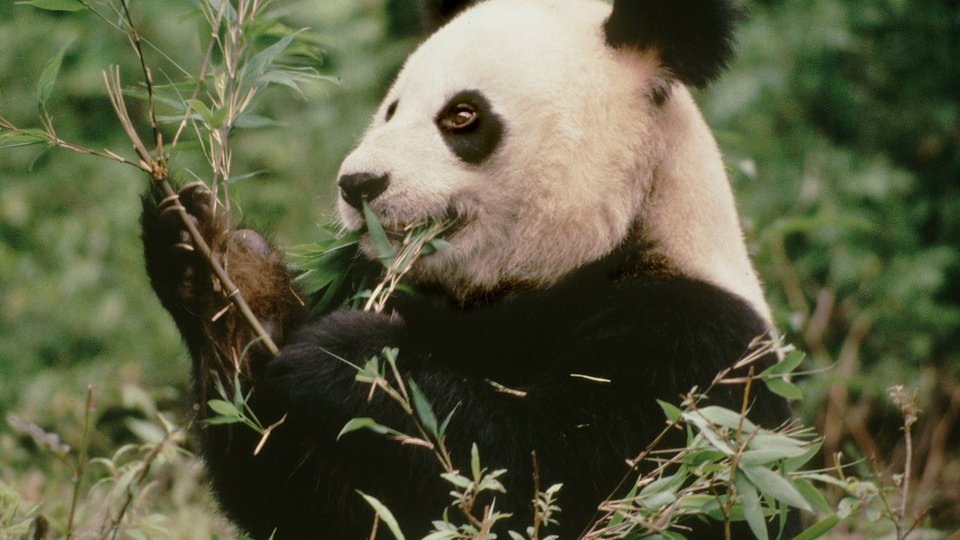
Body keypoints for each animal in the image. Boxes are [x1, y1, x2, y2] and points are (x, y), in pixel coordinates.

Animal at [142, 0, 793, 538]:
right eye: (391, 109)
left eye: (461, 115)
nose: (358, 183)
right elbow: (310, 497)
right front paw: (221, 266)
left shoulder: (691, 351)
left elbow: (539, 480)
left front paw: (352, 358)